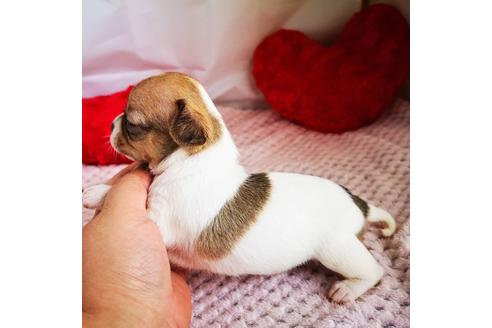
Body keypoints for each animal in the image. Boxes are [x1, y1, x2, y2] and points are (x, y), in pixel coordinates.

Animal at [81, 73, 396, 304]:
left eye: (132, 123)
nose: (110, 124)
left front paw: (99, 194)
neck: (191, 162)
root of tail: (360, 205)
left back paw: (348, 289)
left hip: (337, 249)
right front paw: (96, 191)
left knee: (374, 271)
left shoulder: (159, 221)